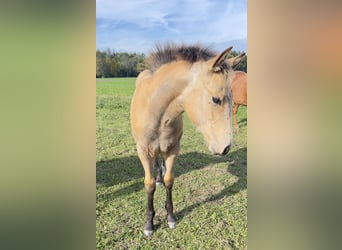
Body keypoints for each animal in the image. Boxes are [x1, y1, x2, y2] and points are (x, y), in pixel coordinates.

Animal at [130, 43, 244, 236]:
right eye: (216, 99)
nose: (226, 147)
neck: (157, 111)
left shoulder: (173, 149)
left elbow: (169, 180)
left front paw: (170, 217)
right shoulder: (143, 151)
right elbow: (149, 184)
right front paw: (149, 224)